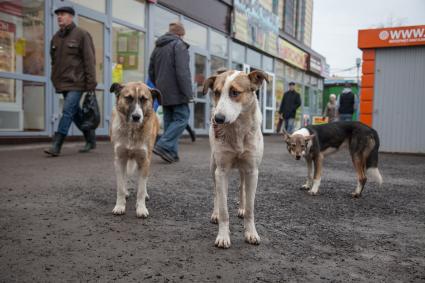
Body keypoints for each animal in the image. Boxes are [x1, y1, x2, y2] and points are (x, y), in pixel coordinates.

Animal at [109, 81, 161, 219]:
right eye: (128, 98)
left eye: (144, 99)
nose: (136, 117)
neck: (132, 131)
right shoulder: (119, 159)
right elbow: (120, 187)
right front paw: (120, 206)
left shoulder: (144, 160)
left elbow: (141, 189)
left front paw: (141, 208)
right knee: (125, 176)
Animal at [203, 70, 268, 250]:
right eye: (216, 92)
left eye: (235, 93)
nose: (217, 119)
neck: (237, 128)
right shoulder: (221, 171)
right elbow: (224, 208)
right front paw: (223, 236)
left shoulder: (252, 171)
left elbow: (251, 208)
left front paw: (251, 233)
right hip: (213, 166)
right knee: (216, 193)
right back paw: (215, 213)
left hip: (243, 170)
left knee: (241, 187)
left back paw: (241, 209)